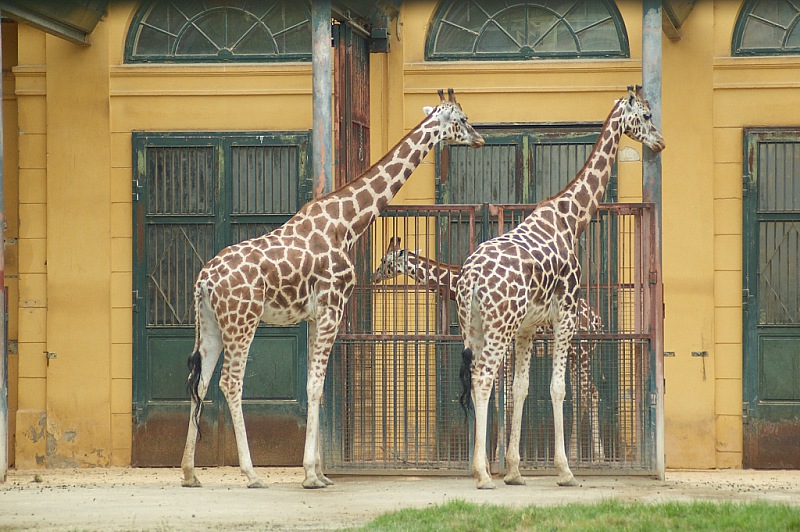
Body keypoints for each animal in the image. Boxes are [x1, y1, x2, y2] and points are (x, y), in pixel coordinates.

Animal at [180, 88, 482, 490]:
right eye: (462, 120)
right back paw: (251, 473)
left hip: (211, 324)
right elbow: (315, 386)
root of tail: (204, 280)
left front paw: (320, 471)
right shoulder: (333, 308)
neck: (347, 222)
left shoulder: (314, 315)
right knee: (230, 382)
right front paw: (311, 474)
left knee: (199, 383)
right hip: (242, 321)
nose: (480, 139)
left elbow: (317, 389)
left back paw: (189, 473)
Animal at [372, 237, 604, 462]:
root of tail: (597, 319)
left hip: (583, 350)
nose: (374, 276)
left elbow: (504, 399)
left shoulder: (505, 347)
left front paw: (499, 453)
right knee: (584, 393)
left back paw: (587, 454)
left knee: (588, 393)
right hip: (574, 353)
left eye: (384, 260)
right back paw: (584, 454)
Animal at [454, 85, 664, 488]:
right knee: (484, 379)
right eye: (646, 115)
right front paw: (565, 469)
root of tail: (470, 278)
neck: (571, 219)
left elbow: (520, 389)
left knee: (476, 378)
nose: (660, 141)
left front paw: (515, 470)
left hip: (472, 326)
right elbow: (557, 388)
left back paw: (483, 468)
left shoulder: (528, 328)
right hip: (498, 325)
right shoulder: (565, 312)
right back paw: (482, 473)